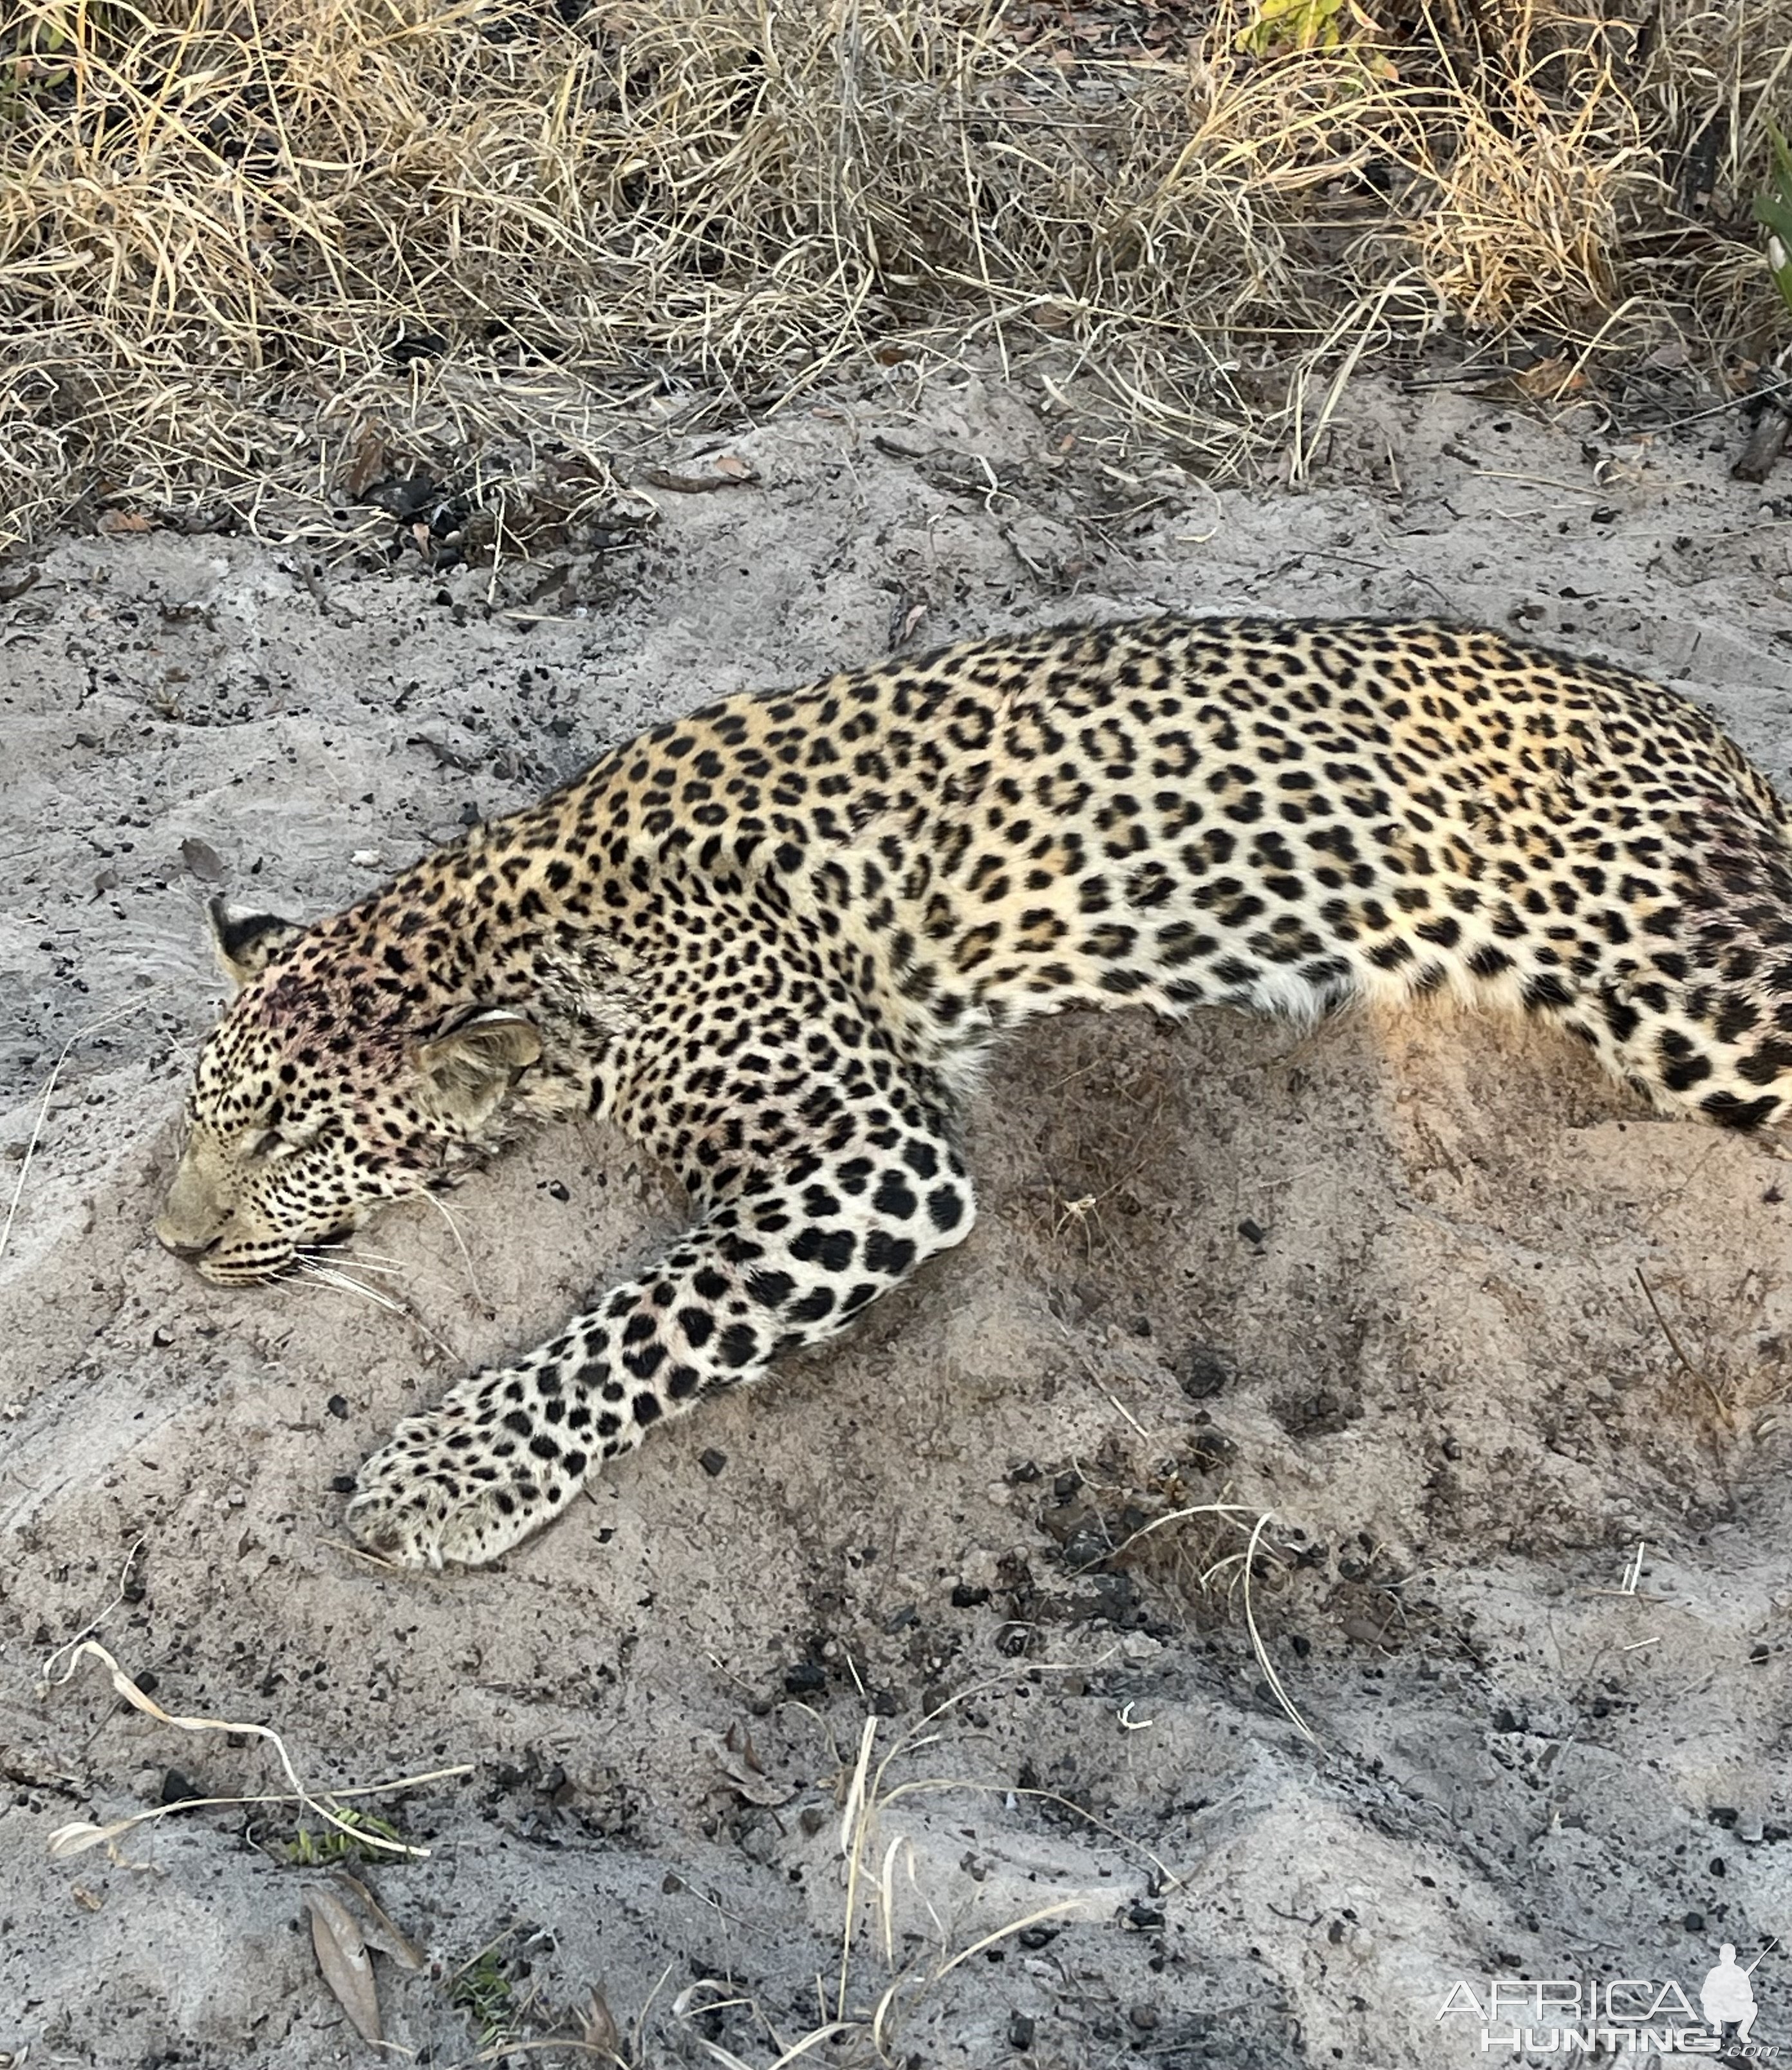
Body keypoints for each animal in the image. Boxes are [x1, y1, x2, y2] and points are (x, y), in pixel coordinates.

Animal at [150, 612, 1787, 1565]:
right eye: (206, 1111)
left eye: (300, 1136)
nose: (171, 1243)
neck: (528, 916)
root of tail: (1698, 725)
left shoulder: (866, 1150)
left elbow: (644, 1316)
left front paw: (446, 1479)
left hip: (1685, 971)